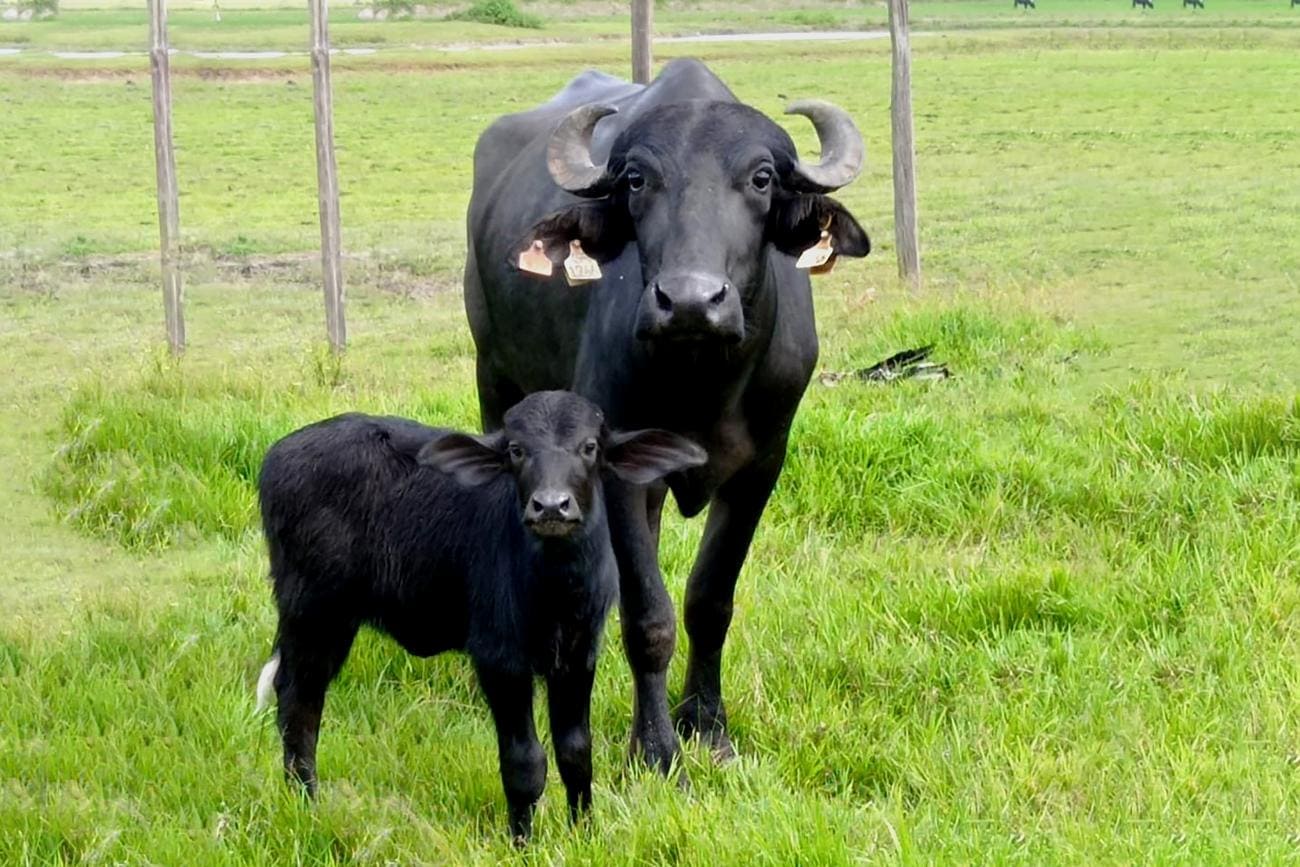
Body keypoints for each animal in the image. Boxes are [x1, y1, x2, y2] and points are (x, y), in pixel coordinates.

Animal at [252, 392, 702, 842]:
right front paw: (522, 841)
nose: (551, 506)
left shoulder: (578, 654)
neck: (555, 587)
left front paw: (584, 832)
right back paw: (306, 799)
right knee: (298, 702)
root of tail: (278, 456)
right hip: (313, 612)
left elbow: (576, 752)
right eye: (517, 450)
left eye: (589, 447)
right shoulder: (500, 660)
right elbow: (524, 763)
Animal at [462, 57, 868, 774]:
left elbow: (709, 600)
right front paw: (655, 748)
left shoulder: (762, 467)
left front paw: (707, 727)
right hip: (496, 378)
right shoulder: (621, 473)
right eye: (636, 178)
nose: (690, 300)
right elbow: (647, 614)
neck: (703, 379)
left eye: (761, 177)